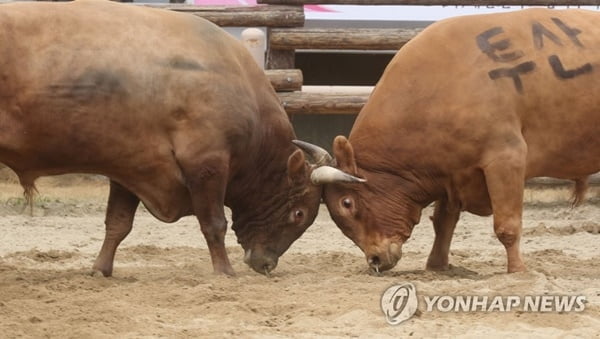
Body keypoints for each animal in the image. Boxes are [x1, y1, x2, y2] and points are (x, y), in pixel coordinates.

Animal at [0, 0, 324, 276]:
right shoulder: (207, 165)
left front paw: (101, 269)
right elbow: (214, 224)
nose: (266, 263)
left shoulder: (131, 165)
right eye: (298, 213)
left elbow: (118, 224)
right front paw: (224, 271)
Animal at [298, 8, 600, 274]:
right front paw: (437, 264)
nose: (375, 260)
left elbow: (507, 226)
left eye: (347, 203)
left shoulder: (506, 159)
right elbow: (444, 222)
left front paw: (518, 271)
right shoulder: (451, 174)